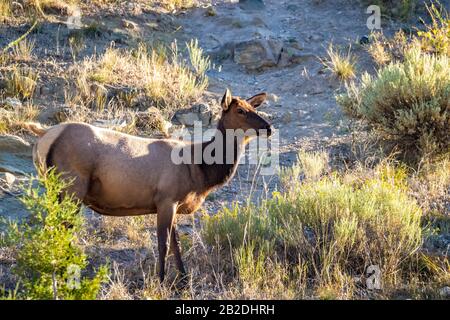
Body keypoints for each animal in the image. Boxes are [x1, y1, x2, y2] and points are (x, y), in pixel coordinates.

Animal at [22, 89, 270, 282]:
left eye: (253, 107)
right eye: (240, 111)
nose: (268, 127)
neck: (201, 170)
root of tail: (44, 134)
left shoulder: (172, 203)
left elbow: (176, 243)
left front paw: (183, 279)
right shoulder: (166, 199)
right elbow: (164, 244)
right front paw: (160, 280)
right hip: (72, 187)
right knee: (62, 227)